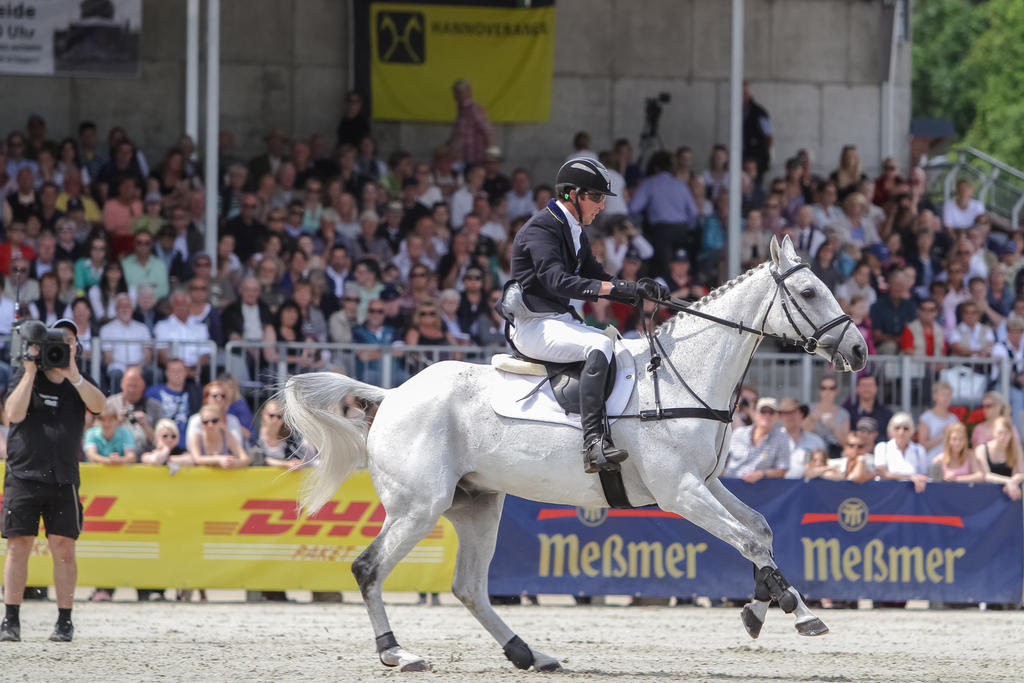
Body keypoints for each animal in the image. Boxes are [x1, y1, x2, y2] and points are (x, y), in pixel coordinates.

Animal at [284, 237, 868, 675]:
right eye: (810, 291)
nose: (859, 350)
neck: (684, 374)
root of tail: (391, 396)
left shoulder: (705, 482)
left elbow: (761, 530)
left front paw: (758, 609)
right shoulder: (680, 492)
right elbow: (747, 538)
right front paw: (799, 612)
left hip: (476, 504)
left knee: (468, 586)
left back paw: (529, 654)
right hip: (418, 507)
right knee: (368, 568)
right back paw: (396, 653)